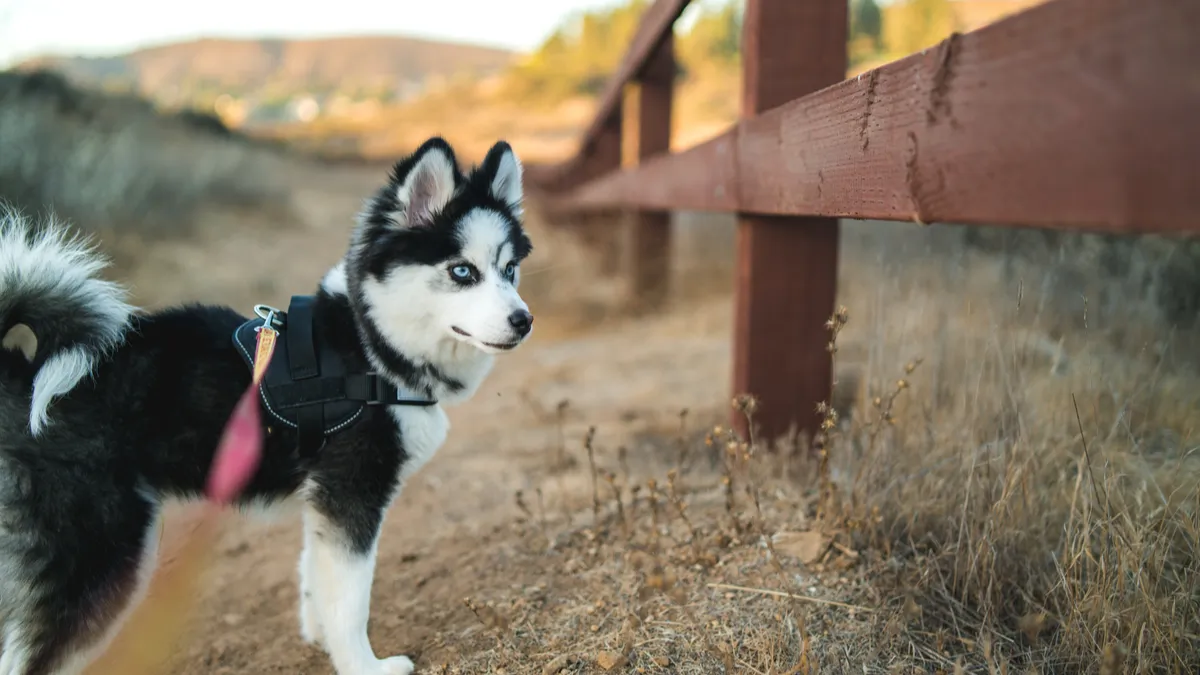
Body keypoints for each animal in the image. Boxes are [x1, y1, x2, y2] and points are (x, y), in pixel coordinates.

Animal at [0, 138, 535, 672]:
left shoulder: (324, 502)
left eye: (510, 270)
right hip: (99, 554)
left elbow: (316, 579)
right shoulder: (352, 495)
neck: (370, 345)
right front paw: (364, 665)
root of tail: (24, 373)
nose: (523, 320)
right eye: (462, 271)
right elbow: (350, 601)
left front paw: (322, 640)